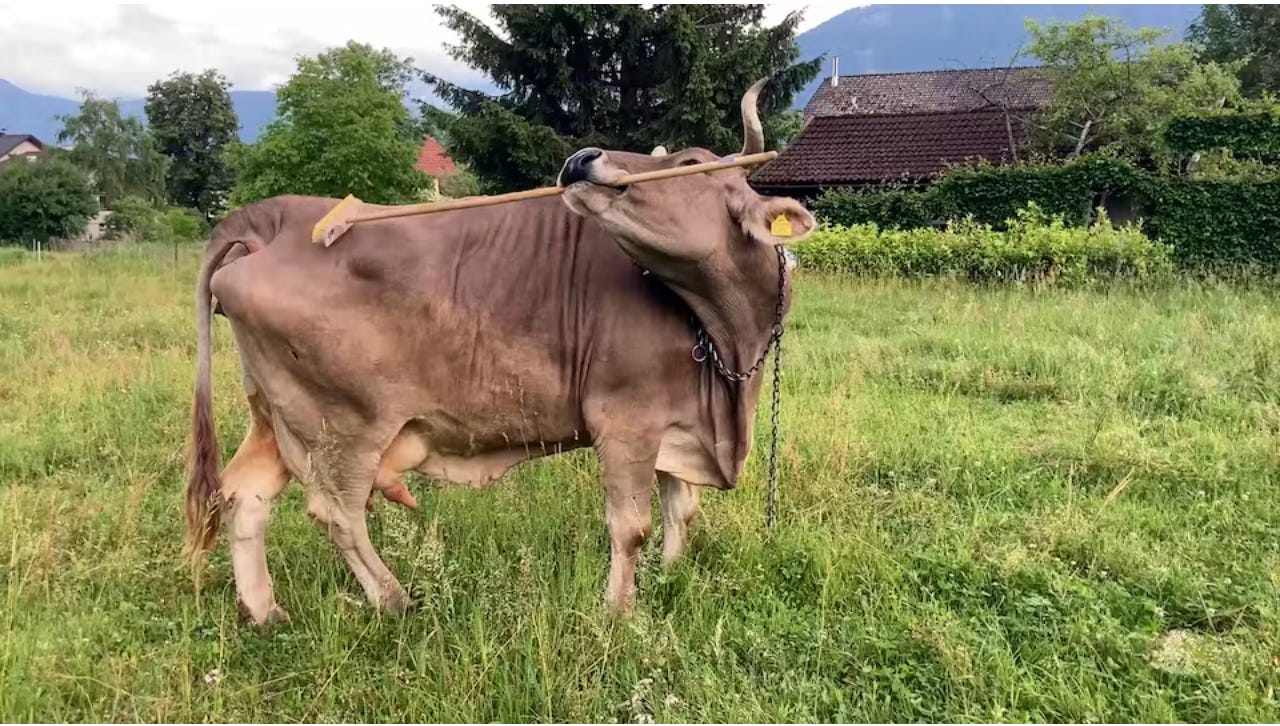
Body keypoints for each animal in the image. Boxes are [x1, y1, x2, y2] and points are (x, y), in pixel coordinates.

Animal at [184, 79, 816, 626]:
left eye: (688, 165)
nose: (582, 158)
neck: (727, 343)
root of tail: (276, 215)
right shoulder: (625, 419)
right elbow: (631, 525)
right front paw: (620, 613)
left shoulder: (677, 423)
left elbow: (679, 508)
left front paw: (671, 576)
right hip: (342, 424)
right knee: (337, 512)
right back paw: (395, 600)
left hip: (275, 414)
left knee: (244, 494)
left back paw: (265, 612)